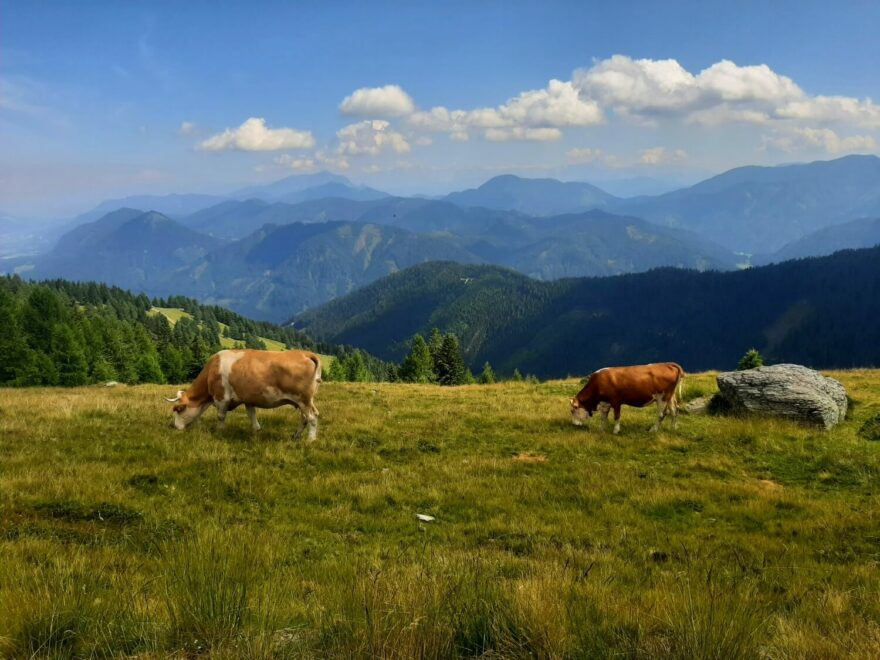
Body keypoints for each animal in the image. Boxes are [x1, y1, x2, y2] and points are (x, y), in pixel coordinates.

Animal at [164, 348, 320, 440]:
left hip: (304, 399)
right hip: (304, 401)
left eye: (178, 410)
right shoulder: (248, 398)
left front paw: (220, 431)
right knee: (304, 418)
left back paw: (310, 440)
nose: (175, 427)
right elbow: (251, 414)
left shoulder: (222, 397)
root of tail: (305, 353)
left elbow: (220, 416)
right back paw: (296, 435)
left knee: (312, 418)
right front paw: (257, 430)